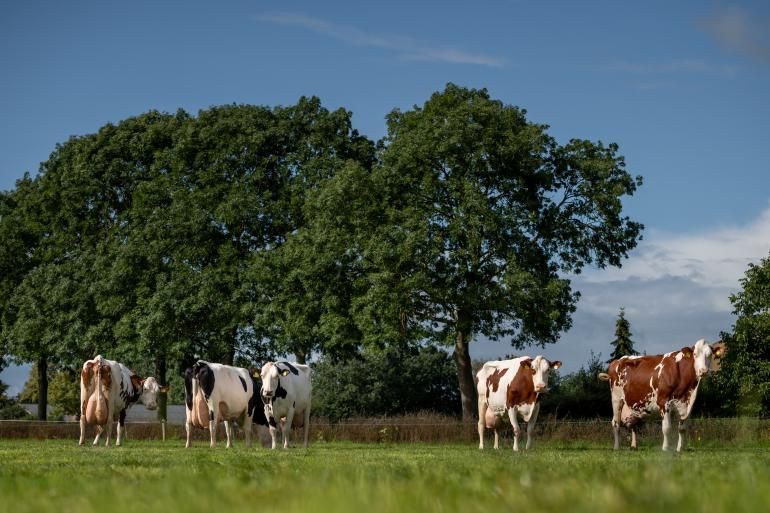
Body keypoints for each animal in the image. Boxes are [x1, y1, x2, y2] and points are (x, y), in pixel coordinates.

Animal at [596, 338, 724, 450]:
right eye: (695, 354)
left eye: (710, 355)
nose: (703, 371)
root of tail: (618, 360)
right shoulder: (664, 402)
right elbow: (666, 428)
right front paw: (665, 448)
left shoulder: (686, 405)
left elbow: (682, 428)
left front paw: (680, 449)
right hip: (617, 399)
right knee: (616, 423)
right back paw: (616, 447)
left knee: (634, 426)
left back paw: (633, 446)